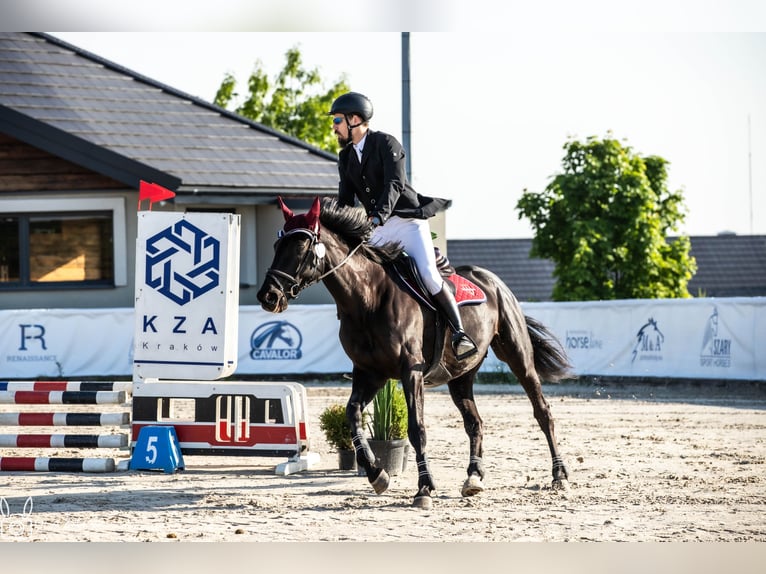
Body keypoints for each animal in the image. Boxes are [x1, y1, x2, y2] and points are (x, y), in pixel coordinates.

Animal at [258, 197, 568, 508]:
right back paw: (473, 478)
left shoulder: (411, 371)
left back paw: (559, 475)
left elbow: (416, 429)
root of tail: (492, 280)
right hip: (460, 375)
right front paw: (377, 474)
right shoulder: (370, 373)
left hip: (517, 356)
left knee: (542, 412)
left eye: (300, 248)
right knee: (475, 423)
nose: (268, 296)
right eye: (276, 246)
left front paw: (424, 488)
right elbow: (353, 415)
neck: (367, 299)